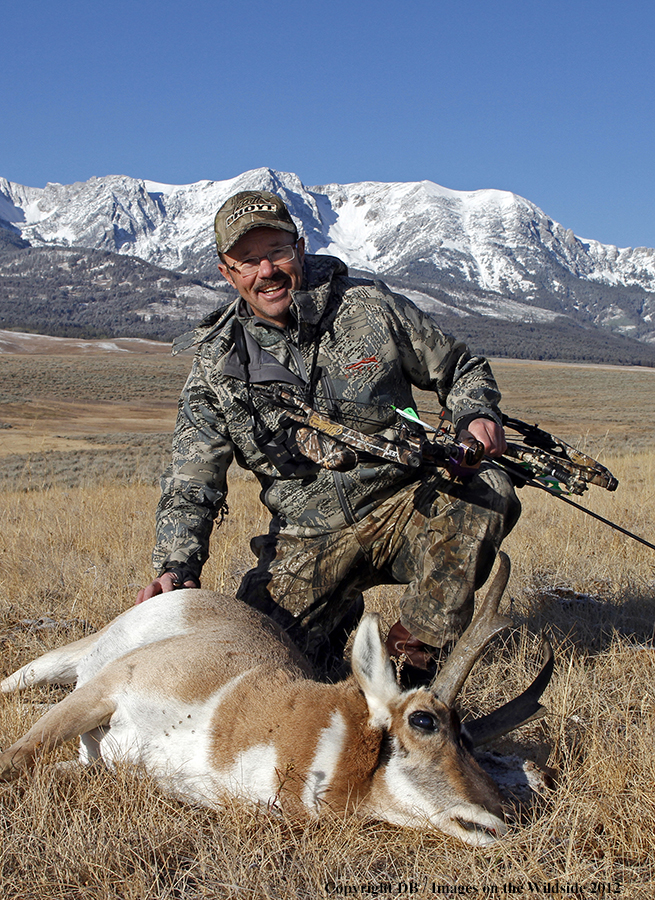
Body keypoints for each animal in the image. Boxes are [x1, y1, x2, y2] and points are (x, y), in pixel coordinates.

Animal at [0, 556, 552, 844]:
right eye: (424, 720)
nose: (503, 820)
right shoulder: (107, 689)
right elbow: (16, 757)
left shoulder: (100, 766)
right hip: (66, 663)